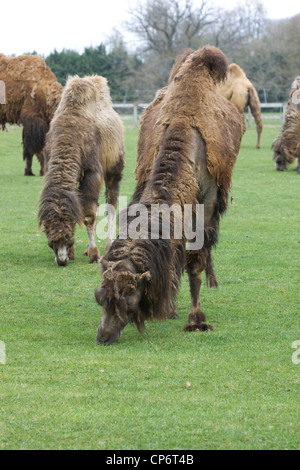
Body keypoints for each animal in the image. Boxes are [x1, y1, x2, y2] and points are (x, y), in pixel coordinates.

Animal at [38, 73, 125, 264]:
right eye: (50, 240)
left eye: (68, 237)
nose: (61, 260)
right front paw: (75, 252)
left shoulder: (92, 172)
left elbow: (88, 215)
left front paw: (94, 253)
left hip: (114, 167)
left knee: (111, 204)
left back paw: (108, 246)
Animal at [95, 46, 245, 344]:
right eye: (101, 296)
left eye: (129, 297)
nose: (104, 335)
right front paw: (172, 308)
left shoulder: (206, 205)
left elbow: (196, 261)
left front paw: (196, 320)